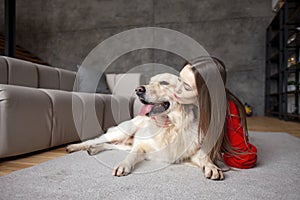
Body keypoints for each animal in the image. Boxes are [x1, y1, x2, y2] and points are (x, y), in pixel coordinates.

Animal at [67, 73, 224, 180]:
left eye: (164, 82)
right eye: (150, 82)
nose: (138, 90)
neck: (169, 127)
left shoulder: (190, 152)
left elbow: (204, 157)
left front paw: (212, 167)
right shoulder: (140, 146)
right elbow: (131, 155)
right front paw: (123, 165)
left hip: (125, 141)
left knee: (112, 145)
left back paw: (94, 149)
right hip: (123, 131)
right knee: (96, 140)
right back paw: (75, 147)